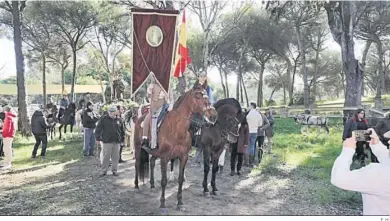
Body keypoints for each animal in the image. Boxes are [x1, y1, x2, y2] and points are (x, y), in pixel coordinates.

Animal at [133, 86, 219, 214]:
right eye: (198, 96)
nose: (213, 115)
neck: (177, 129)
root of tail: (139, 119)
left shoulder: (183, 157)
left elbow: (180, 179)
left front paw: (180, 203)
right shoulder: (164, 157)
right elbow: (164, 180)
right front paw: (162, 204)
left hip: (155, 152)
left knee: (152, 162)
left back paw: (152, 185)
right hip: (138, 147)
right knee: (137, 164)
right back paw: (136, 186)